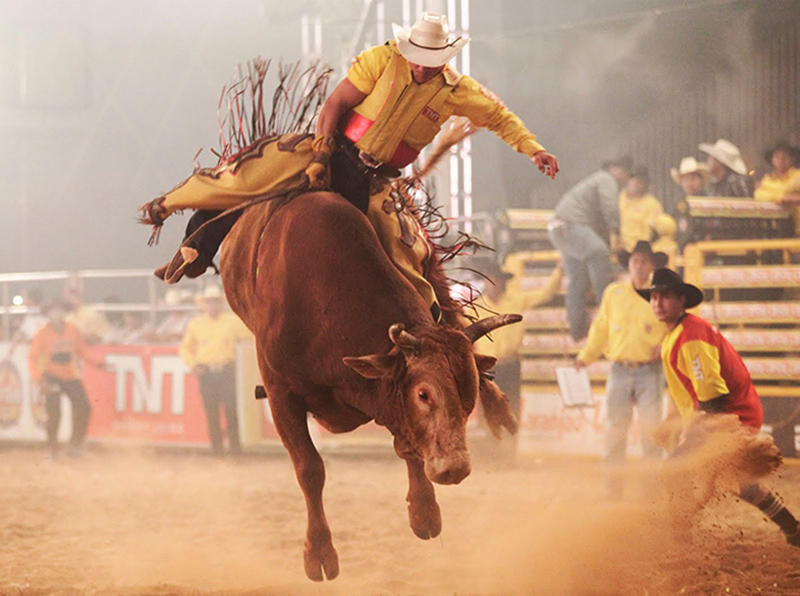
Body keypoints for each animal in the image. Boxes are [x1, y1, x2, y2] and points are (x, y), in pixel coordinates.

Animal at [220, 189, 520, 580]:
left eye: (467, 392)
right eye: (423, 394)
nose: (454, 467)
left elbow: (407, 446)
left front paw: (424, 512)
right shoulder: (280, 393)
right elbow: (309, 468)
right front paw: (319, 552)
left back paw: (499, 409)